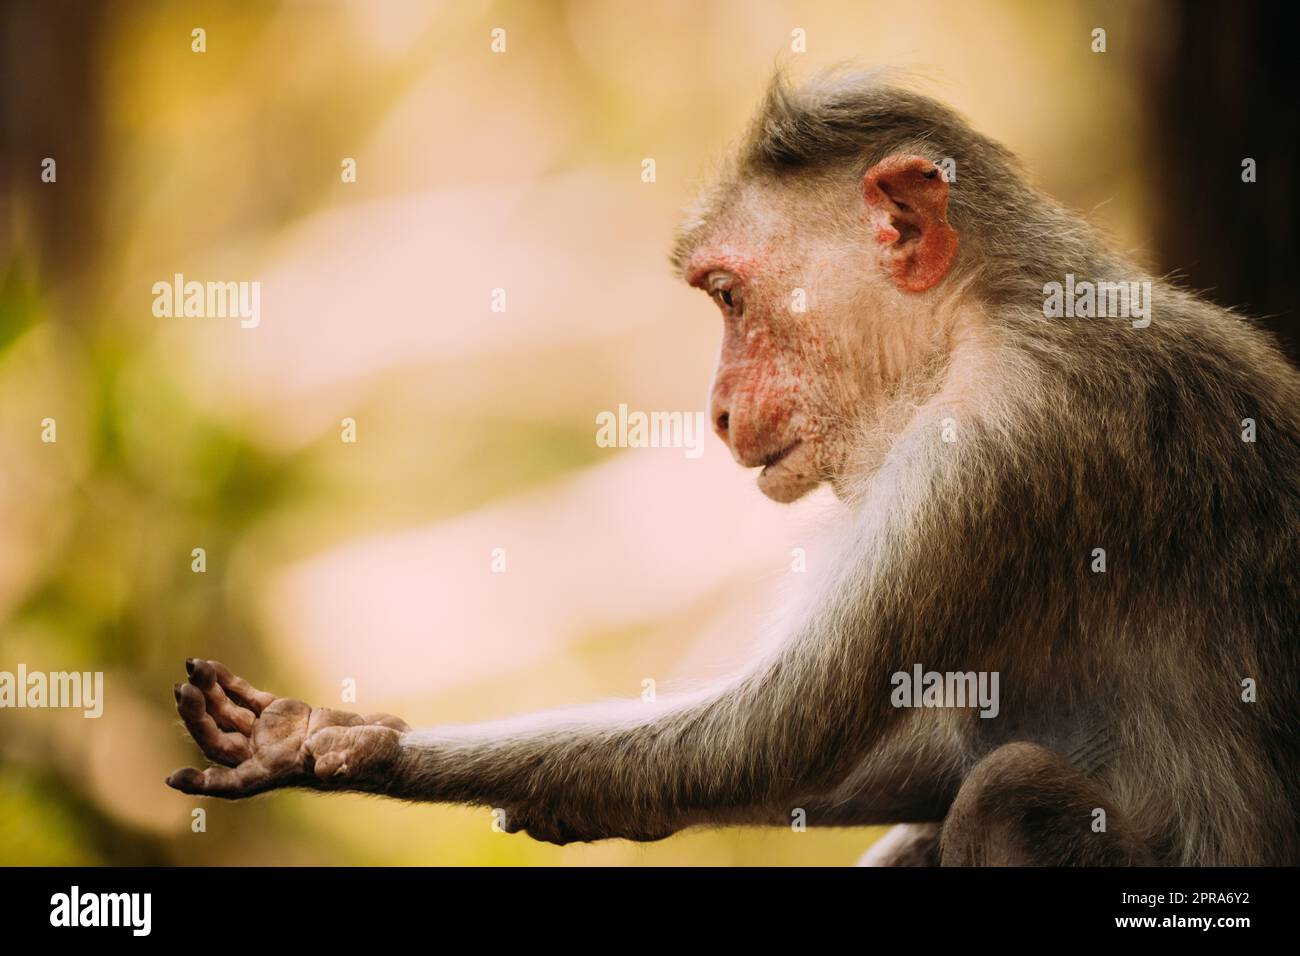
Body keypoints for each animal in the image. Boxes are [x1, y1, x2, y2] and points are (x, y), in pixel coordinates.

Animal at [167, 70, 1294, 868]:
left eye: (727, 297)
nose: (712, 411)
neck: (980, 319)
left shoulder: (991, 448)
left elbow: (771, 735)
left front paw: (351, 746)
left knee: (1008, 790)